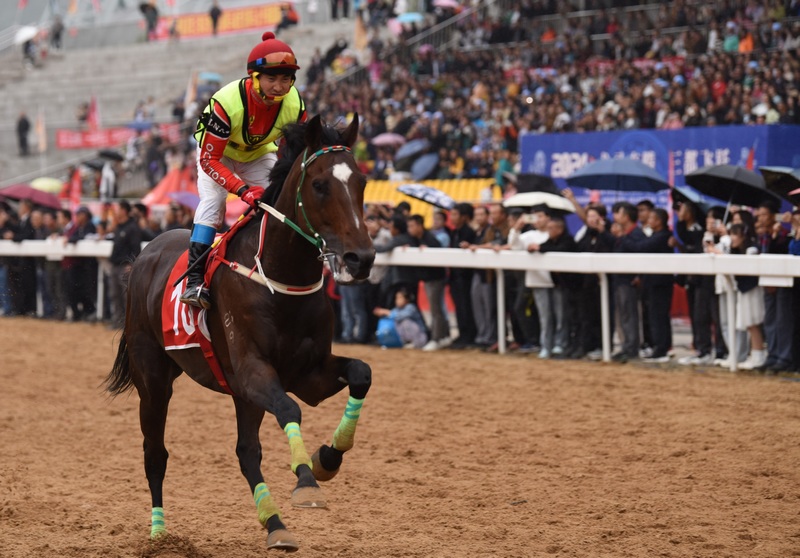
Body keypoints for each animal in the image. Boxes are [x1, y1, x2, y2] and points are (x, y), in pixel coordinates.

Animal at [104, 114, 375, 552]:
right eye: (320, 184)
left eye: (362, 182)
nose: (361, 258)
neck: (280, 279)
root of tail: (147, 251)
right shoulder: (253, 371)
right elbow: (290, 409)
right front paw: (307, 481)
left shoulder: (309, 375)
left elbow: (361, 374)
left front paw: (326, 460)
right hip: (154, 379)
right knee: (155, 453)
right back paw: (160, 534)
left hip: (239, 394)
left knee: (246, 451)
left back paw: (275, 525)